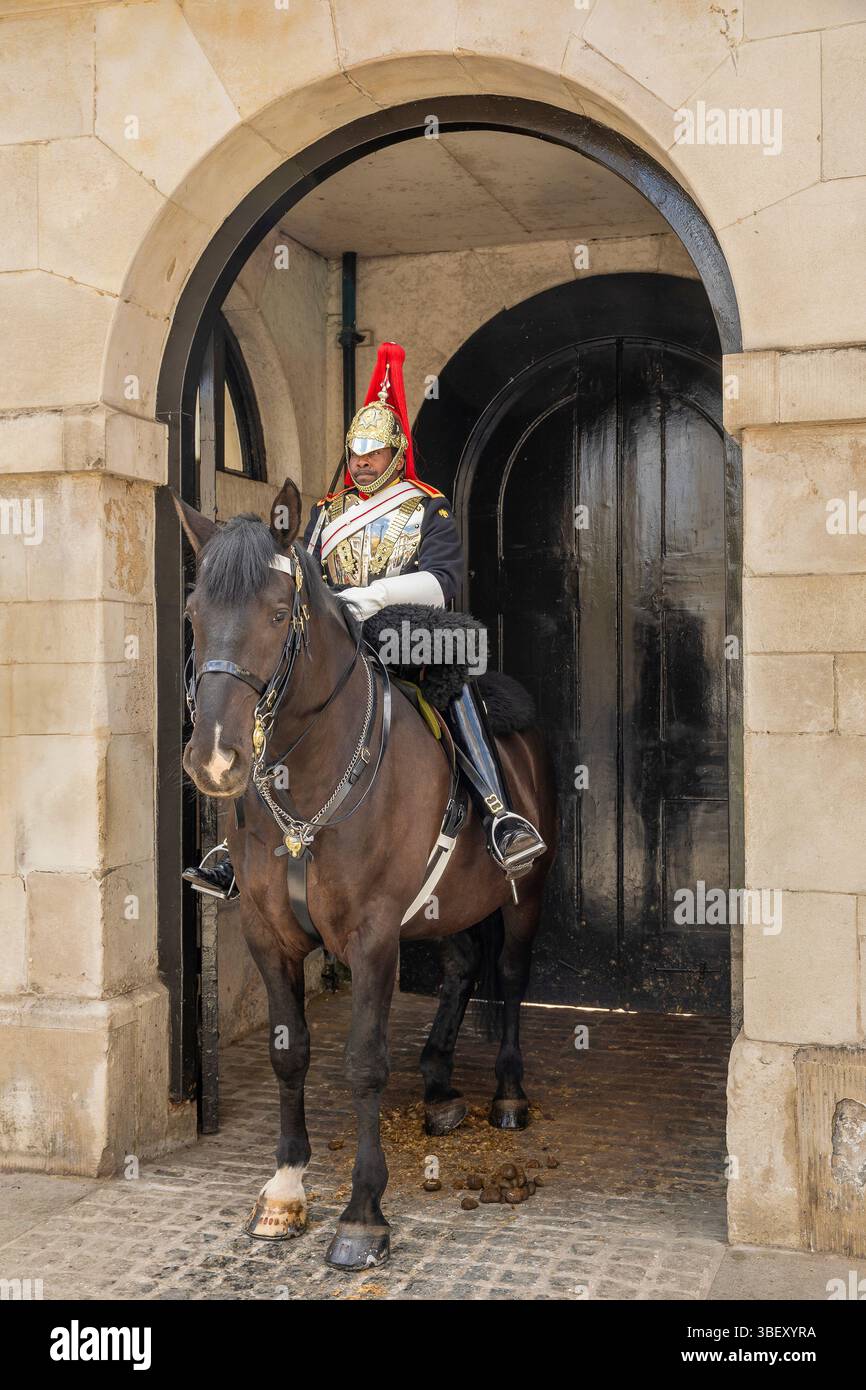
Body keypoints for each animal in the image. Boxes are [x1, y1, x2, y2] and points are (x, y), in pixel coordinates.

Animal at [174, 478, 556, 1271]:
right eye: (194, 615)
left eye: (279, 611)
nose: (215, 759)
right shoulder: (267, 933)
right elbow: (289, 1051)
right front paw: (285, 1188)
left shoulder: (374, 935)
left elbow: (363, 1062)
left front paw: (362, 1214)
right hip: (445, 904)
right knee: (462, 966)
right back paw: (439, 1084)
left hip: (523, 894)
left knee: (508, 974)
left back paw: (507, 1094)